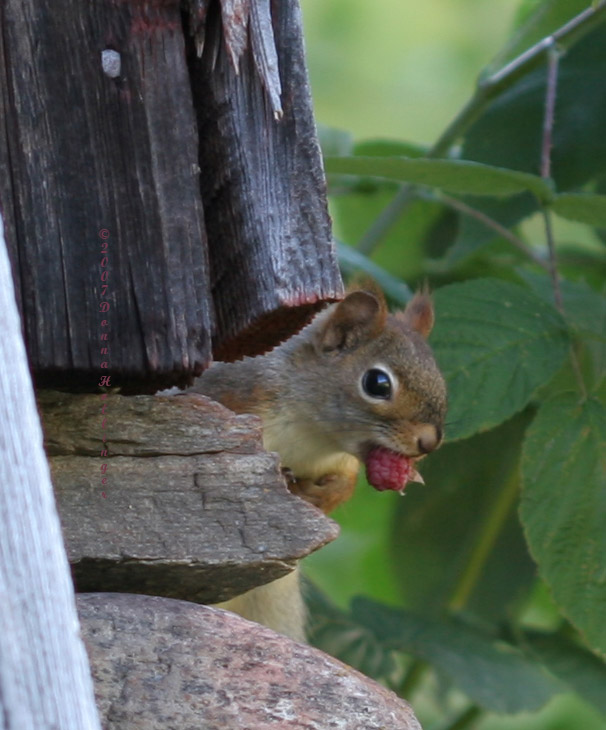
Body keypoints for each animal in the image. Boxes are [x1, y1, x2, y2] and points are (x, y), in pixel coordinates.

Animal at [192, 288, 448, 640]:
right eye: (377, 383)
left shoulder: (339, 461)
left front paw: (325, 493)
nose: (430, 442)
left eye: (440, 377)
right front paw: (280, 478)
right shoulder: (235, 397)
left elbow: (341, 485)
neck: (312, 436)